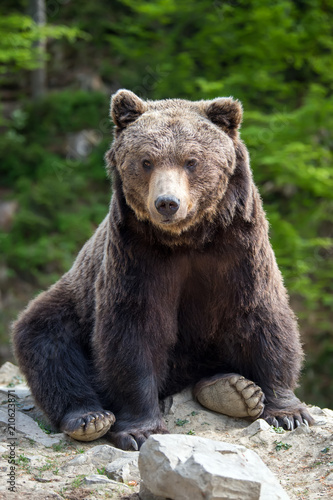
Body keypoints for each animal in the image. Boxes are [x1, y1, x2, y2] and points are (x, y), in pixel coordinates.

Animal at [11, 88, 312, 452]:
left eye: (191, 161)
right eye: (146, 161)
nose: (167, 203)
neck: (188, 238)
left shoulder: (238, 246)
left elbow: (260, 315)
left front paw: (287, 411)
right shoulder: (137, 255)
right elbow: (134, 331)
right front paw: (140, 430)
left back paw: (236, 391)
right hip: (75, 299)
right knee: (47, 338)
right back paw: (89, 417)